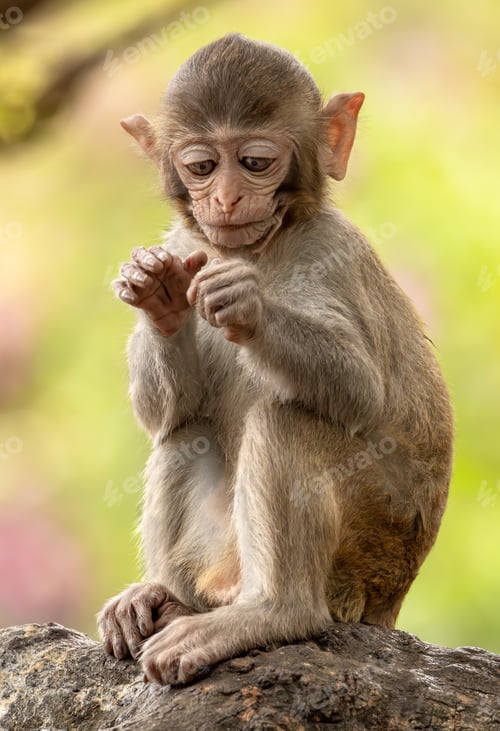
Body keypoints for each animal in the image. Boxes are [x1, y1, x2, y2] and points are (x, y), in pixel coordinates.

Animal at [97, 34, 453, 686]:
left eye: (256, 162)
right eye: (202, 166)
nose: (227, 197)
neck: (264, 246)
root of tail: (391, 602)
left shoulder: (332, 253)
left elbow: (359, 388)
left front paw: (247, 303)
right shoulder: (185, 243)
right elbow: (165, 414)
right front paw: (158, 295)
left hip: (369, 551)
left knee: (286, 420)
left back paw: (272, 614)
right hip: (227, 558)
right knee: (184, 433)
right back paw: (165, 598)